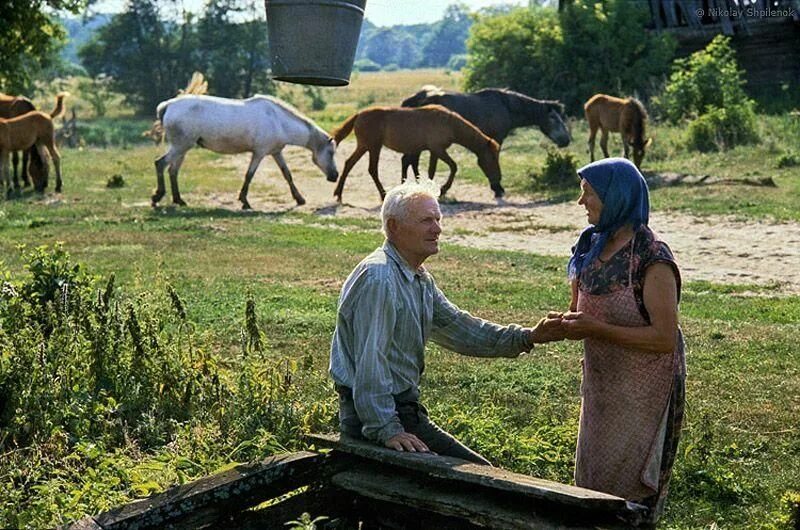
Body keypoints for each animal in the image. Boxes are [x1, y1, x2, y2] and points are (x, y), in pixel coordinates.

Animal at [152, 93, 338, 208]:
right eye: (331, 153)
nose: (335, 176)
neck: (278, 121)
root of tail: (168, 105)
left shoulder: (276, 153)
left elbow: (287, 174)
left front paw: (299, 199)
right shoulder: (259, 154)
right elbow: (249, 175)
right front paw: (244, 201)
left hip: (181, 149)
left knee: (173, 171)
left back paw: (178, 200)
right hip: (180, 147)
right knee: (160, 164)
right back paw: (157, 197)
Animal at [332, 104, 500, 201]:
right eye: (492, 157)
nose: (498, 178)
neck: (449, 123)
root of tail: (358, 114)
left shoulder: (434, 151)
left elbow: (431, 170)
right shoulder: (438, 149)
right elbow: (453, 166)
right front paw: (443, 189)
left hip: (364, 146)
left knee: (349, 163)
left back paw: (339, 194)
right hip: (373, 147)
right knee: (372, 169)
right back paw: (383, 195)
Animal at [400, 85, 568, 178]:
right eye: (554, 118)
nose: (566, 140)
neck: (506, 106)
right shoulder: (496, 138)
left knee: (410, 161)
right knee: (409, 161)